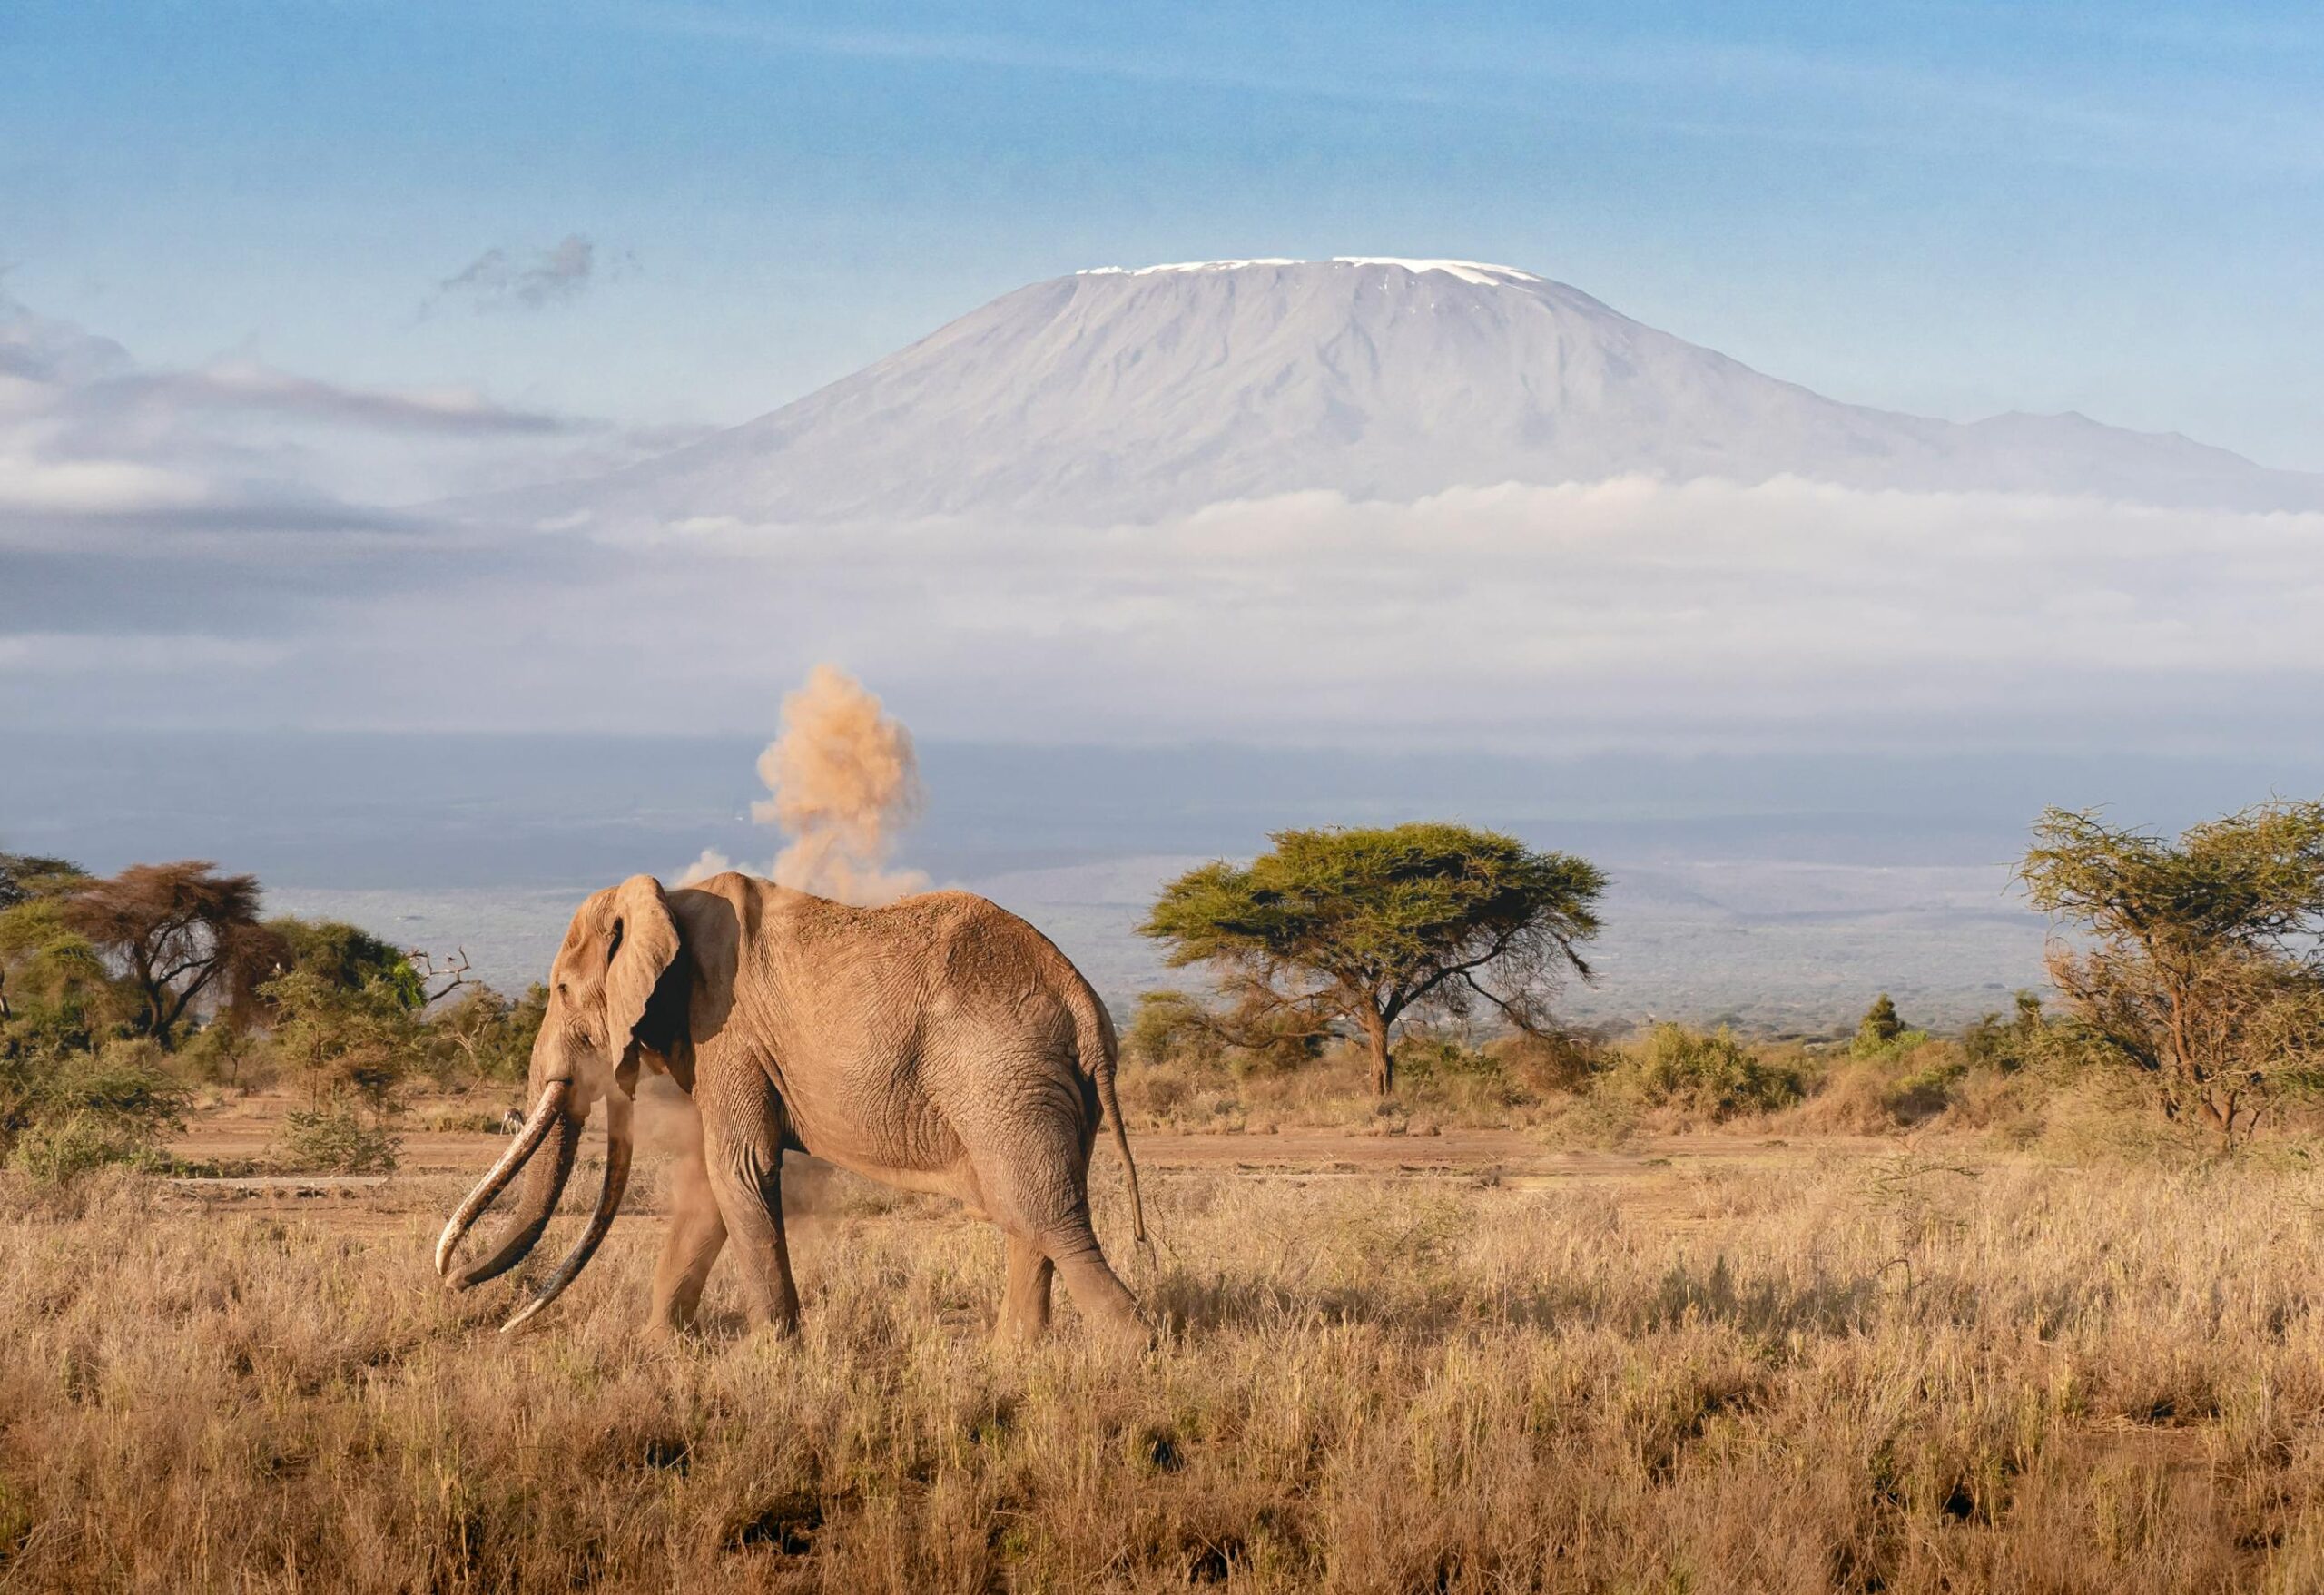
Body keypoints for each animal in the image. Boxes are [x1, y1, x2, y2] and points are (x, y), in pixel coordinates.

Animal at [434, 871, 1149, 1341]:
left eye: (560, 989)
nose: (464, 1290)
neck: (667, 898)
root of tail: (1084, 1003)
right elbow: (712, 1185)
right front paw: (659, 1348)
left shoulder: (727, 1031)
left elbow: (739, 1169)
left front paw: (776, 1356)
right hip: (1039, 1087)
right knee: (1026, 1216)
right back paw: (1014, 1360)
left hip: (1004, 1076)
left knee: (1046, 1217)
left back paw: (1133, 1351)